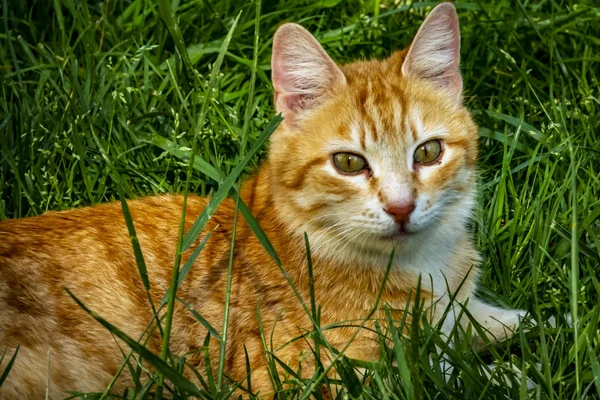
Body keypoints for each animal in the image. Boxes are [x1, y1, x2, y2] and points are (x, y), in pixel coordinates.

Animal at [0, 3, 528, 400]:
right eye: (349, 163)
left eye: (428, 152)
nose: (401, 208)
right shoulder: (300, 377)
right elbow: (443, 375)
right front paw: (511, 375)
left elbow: (481, 322)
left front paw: (527, 323)